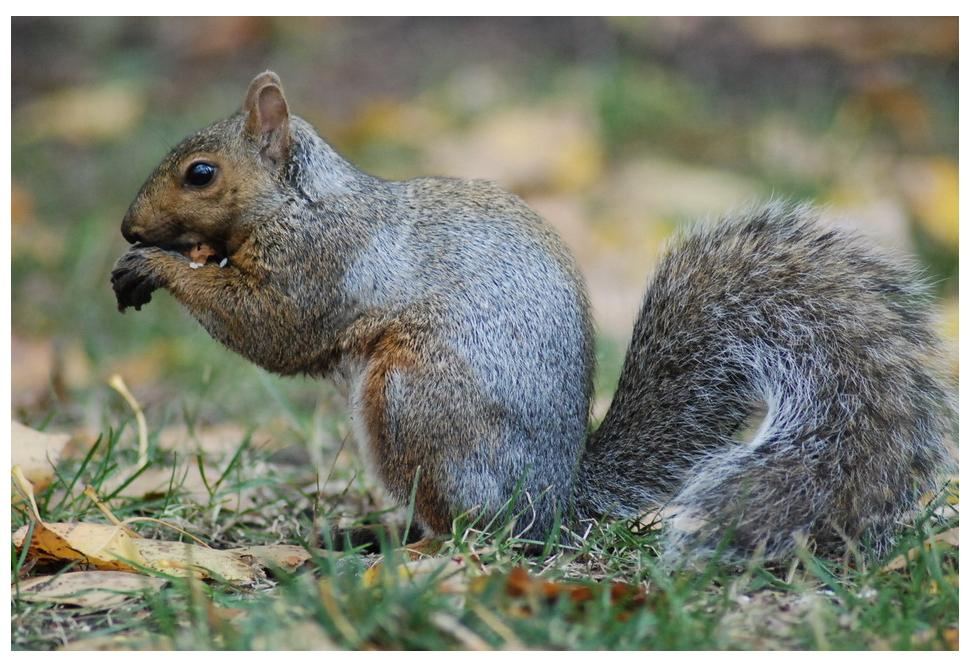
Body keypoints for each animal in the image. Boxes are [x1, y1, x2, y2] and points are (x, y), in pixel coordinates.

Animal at [111, 71, 954, 562]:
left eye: (200, 173)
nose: (127, 227)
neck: (302, 199)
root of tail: (551, 505)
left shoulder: (320, 264)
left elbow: (273, 330)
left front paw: (160, 266)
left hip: (415, 405)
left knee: (472, 530)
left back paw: (416, 552)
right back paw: (371, 532)